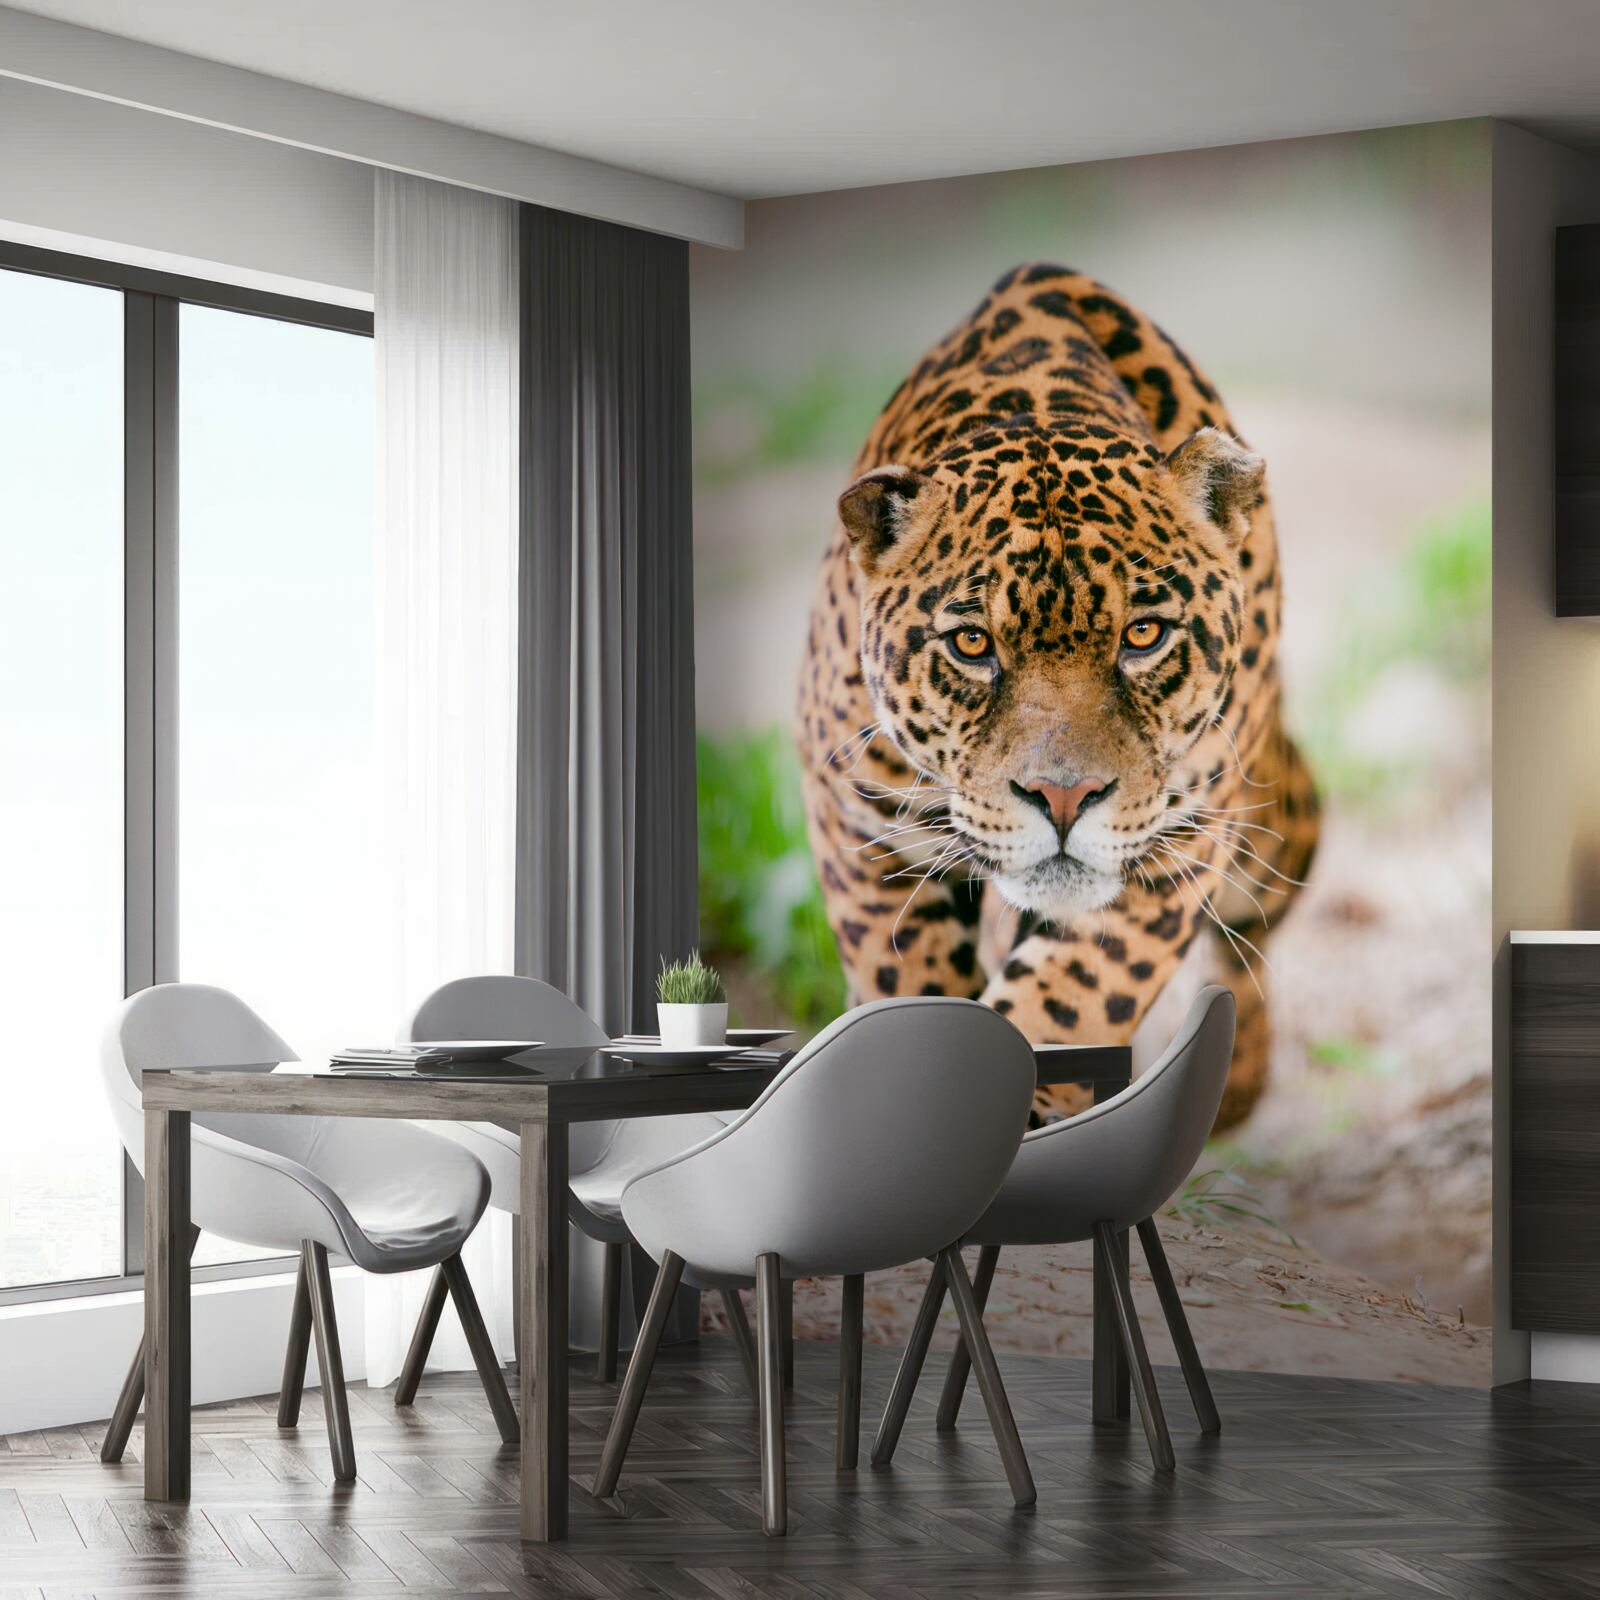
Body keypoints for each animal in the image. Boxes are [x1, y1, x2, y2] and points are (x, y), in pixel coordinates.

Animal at [796, 263, 1319, 1128]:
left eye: (1143, 635)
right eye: (973, 645)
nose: (1064, 798)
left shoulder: (1177, 846)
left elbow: (1068, 1000)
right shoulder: (858, 819)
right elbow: (901, 979)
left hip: (1274, 827)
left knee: (1247, 939)